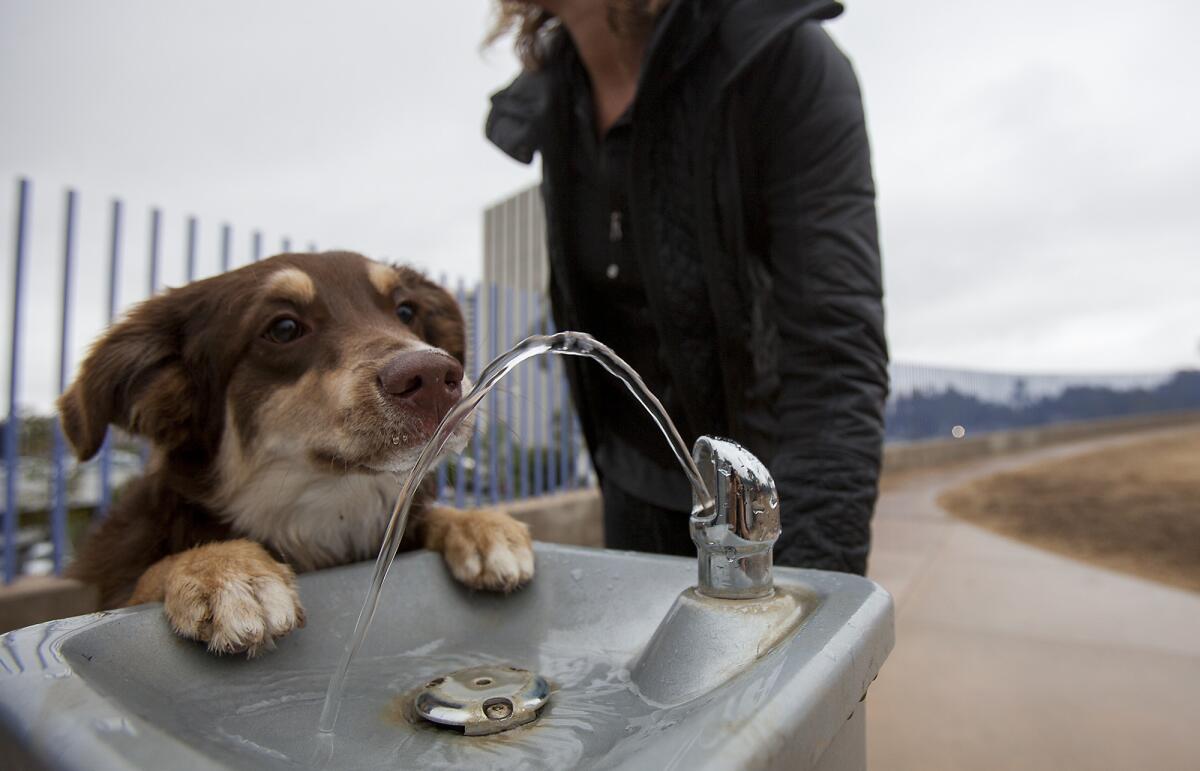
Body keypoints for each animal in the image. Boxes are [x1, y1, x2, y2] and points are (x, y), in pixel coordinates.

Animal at [59, 250, 535, 653]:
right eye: (284, 329)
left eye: (405, 311)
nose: (436, 376)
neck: (329, 510)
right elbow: (147, 575)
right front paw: (223, 568)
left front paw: (480, 526)